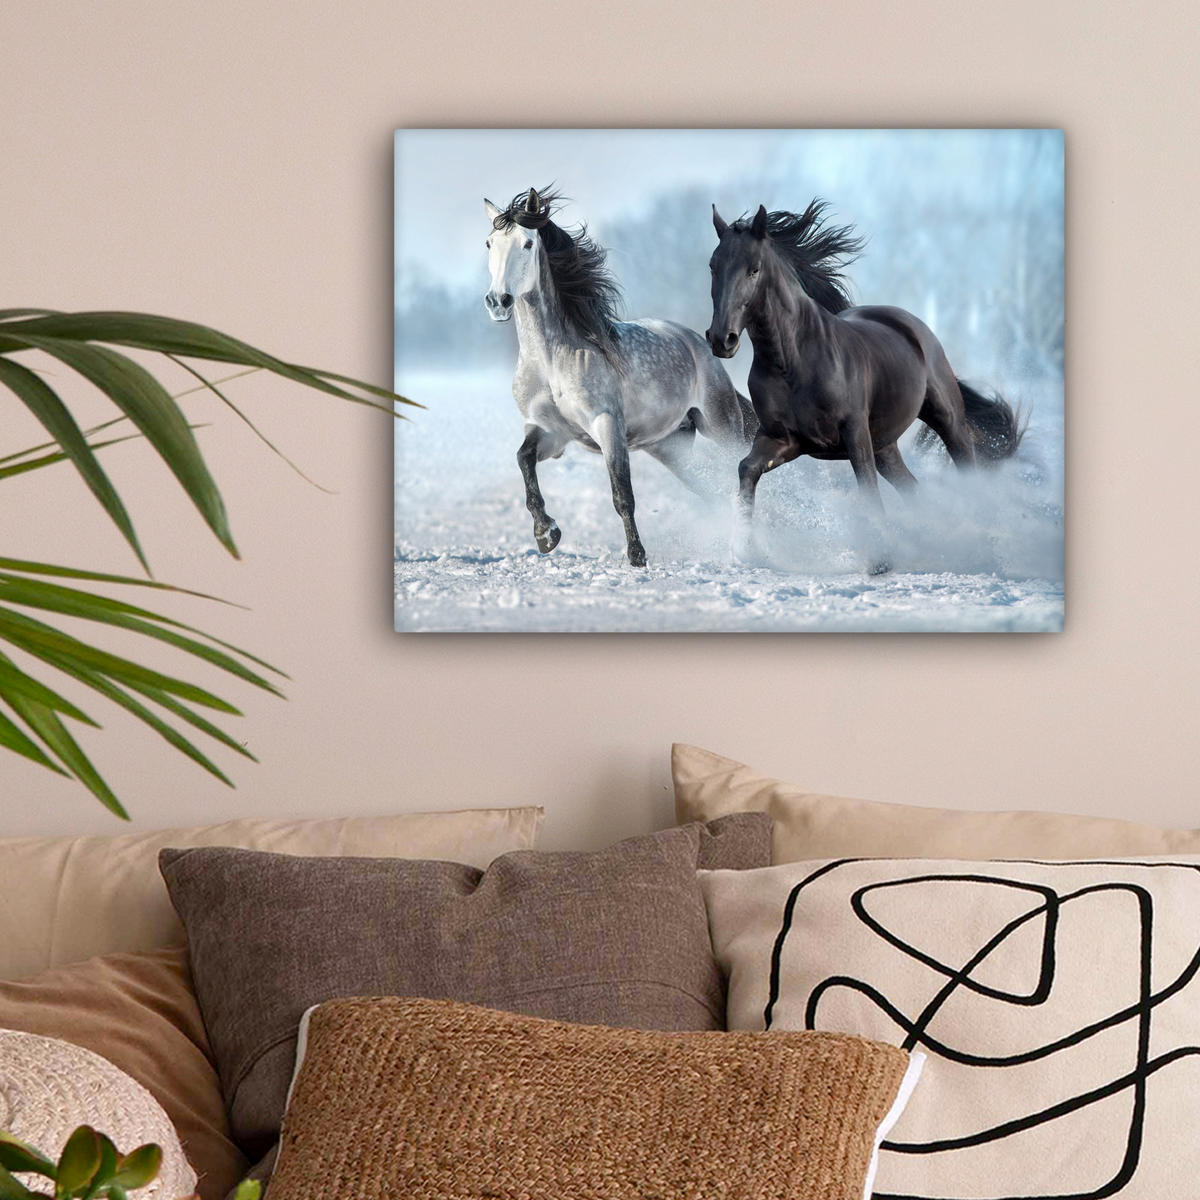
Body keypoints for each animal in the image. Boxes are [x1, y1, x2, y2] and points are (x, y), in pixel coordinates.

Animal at [483, 187, 756, 567]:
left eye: (526, 243)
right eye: (490, 243)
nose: (498, 301)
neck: (552, 361)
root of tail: (697, 343)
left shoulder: (607, 425)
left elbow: (622, 494)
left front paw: (637, 556)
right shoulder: (550, 432)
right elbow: (523, 460)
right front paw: (546, 534)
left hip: (722, 426)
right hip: (670, 447)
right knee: (711, 489)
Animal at [705, 199, 1024, 569]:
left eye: (754, 270)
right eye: (713, 266)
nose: (721, 339)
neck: (793, 361)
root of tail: (912, 325)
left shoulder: (854, 432)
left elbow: (867, 488)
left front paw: (881, 560)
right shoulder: (782, 439)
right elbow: (747, 469)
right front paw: (746, 550)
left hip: (947, 419)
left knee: (965, 467)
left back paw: (981, 547)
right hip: (885, 445)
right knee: (913, 489)